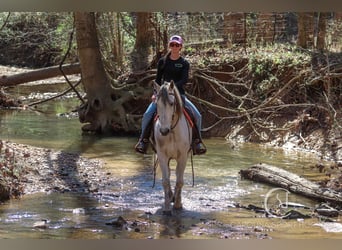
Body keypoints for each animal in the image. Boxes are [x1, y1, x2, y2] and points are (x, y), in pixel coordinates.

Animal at [152, 80, 192, 215]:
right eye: (157, 104)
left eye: (171, 103)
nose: (164, 131)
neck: (172, 131)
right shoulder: (162, 155)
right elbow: (165, 180)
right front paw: (167, 208)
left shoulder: (183, 156)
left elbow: (179, 181)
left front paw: (178, 205)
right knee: (169, 174)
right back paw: (170, 197)